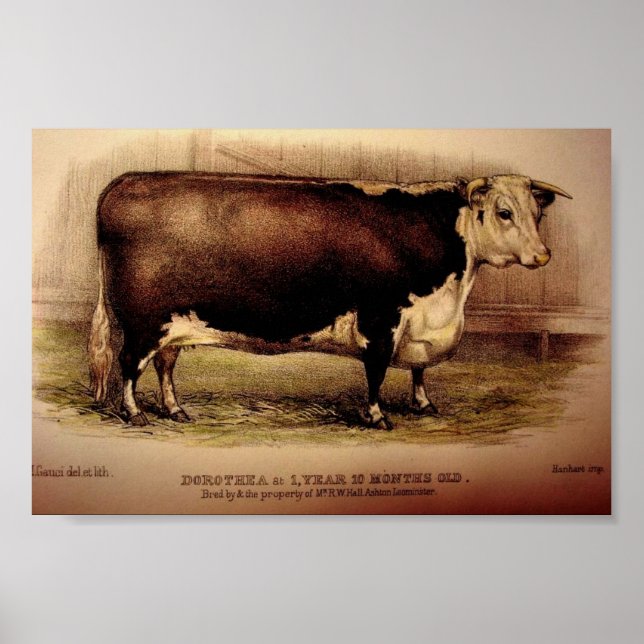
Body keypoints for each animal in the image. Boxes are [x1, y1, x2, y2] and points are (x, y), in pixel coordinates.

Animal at [88, 172, 571, 430]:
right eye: (504, 212)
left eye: (537, 213)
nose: (543, 255)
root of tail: (126, 181)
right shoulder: (381, 319)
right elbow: (376, 373)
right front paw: (377, 416)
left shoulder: (417, 326)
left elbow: (418, 369)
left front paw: (423, 405)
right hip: (143, 321)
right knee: (128, 364)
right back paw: (134, 413)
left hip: (173, 323)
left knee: (165, 365)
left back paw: (176, 410)